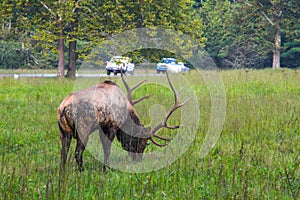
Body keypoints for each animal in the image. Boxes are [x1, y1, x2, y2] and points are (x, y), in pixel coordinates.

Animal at [57, 72, 188, 173]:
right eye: (142, 143)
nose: (138, 160)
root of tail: (63, 108)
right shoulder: (113, 126)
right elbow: (107, 150)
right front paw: (105, 170)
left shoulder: (102, 128)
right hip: (83, 128)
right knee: (77, 152)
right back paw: (82, 171)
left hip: (63, 130)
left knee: (63, 152)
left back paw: (62, 172)